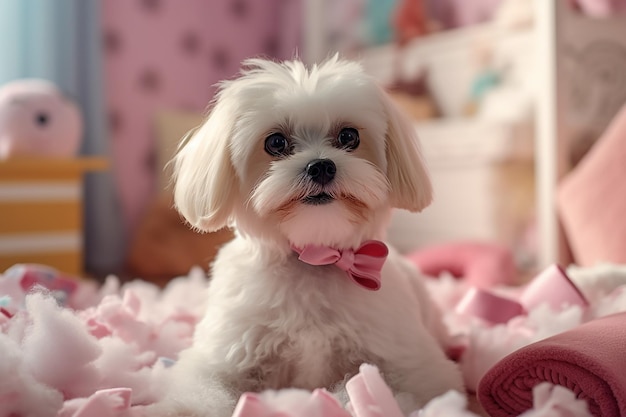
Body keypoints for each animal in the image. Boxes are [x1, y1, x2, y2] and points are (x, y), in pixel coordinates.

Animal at [160, 56, 464, 416]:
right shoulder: (219, 359)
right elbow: (200, 395)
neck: (313, 260)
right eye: (276, 143)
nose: (320, 166)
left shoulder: (416, 367)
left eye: (349, 136)